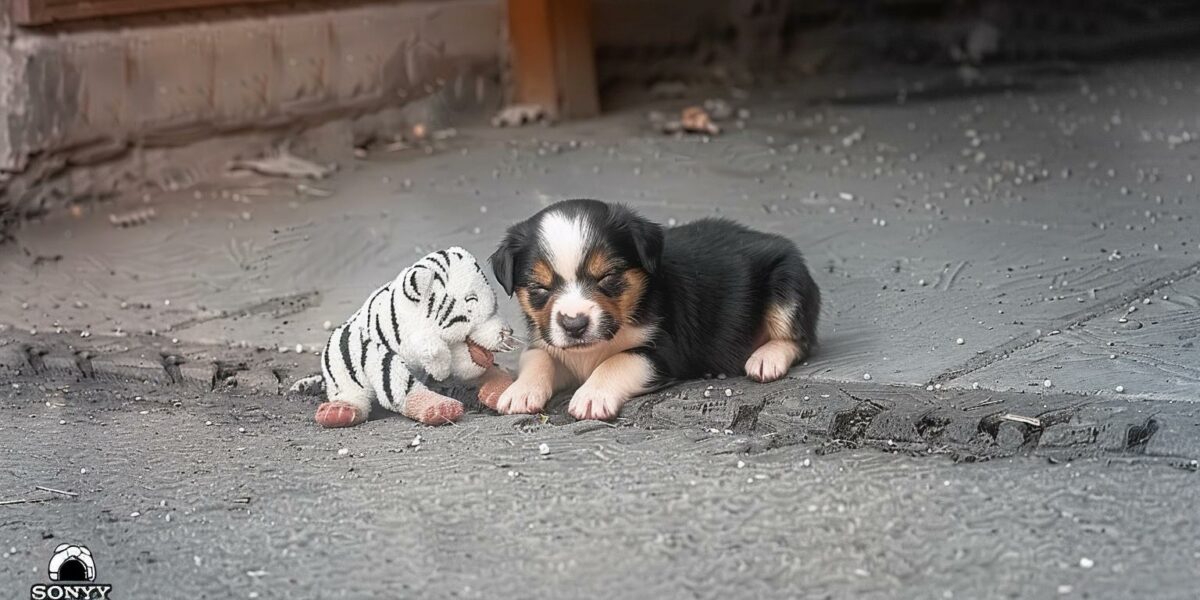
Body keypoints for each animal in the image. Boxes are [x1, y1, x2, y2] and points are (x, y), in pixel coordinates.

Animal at [484, 199, 816, 420]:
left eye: (607, 277)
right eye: (540, 287)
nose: (574, 325)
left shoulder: (665, 351)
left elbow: (617, 360)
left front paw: (592, 395)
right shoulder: (549, 340)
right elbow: (537, 357)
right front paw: (520, 392)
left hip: (787, 283)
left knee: (800, 339)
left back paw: (766, 359)